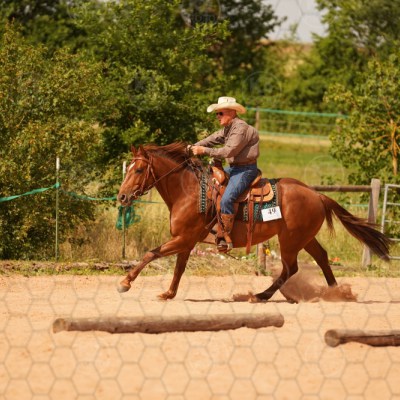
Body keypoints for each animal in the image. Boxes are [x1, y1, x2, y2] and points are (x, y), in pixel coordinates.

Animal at [117, 142, 391, 301]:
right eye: (127, 168)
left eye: (138, 170)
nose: (122, 196)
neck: (190, 192)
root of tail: (317, 195)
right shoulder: (186, 241)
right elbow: (178, 268)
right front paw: (168, 293)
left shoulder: (182, 238)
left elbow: (151, 254)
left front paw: (125, 283)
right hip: (304, 238)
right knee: (322, 258)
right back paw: (335, 293)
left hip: (290, 241)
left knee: (291, 268)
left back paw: (261, 295)